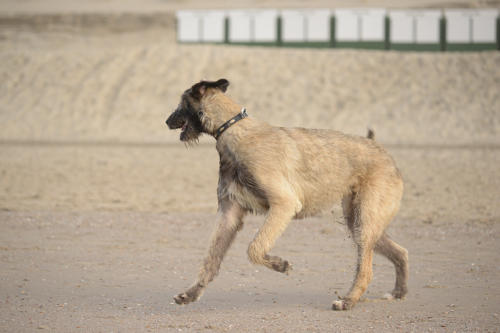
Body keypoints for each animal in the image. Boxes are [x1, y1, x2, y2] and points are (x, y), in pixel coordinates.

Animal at [166, 79, 408, 310]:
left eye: (181, 103)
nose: (166, 121)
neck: (233, 129)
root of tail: (382, 150)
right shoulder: (229, 215)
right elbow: (211, 259)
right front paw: (191, 293)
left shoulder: (284, 204)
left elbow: (254, 248)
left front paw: (279, 264)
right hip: (359, 222)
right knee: (401, 251)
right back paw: (398, 291)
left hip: (365, 223)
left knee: (366, 270)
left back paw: (348, 301)